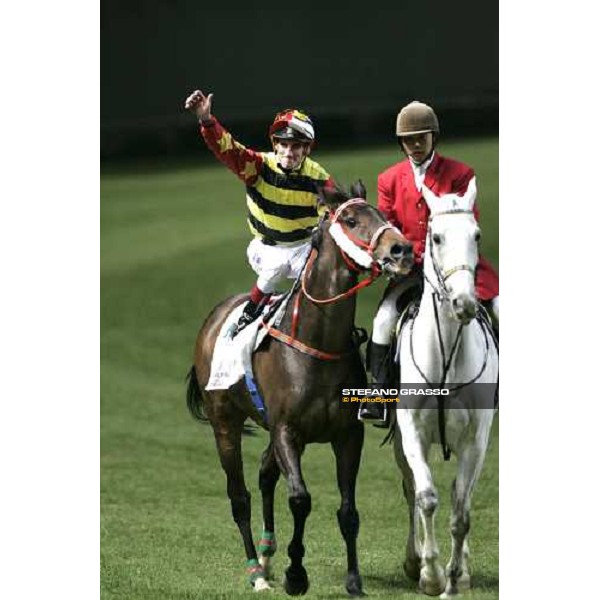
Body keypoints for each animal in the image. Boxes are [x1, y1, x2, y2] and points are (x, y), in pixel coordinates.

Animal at [186, 183, 412, 596]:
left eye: (383, 215)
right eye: (351, 219)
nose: (400, 250)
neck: (316, 342)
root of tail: (214, 317)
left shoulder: (347, 434)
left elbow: (348, 510)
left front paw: (353, 580)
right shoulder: (287, 431)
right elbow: (300, 499)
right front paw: (296, 574)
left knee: (264, 474)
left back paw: (266, 556)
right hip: (224, 422)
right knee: (239, 496)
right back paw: (257, 573)